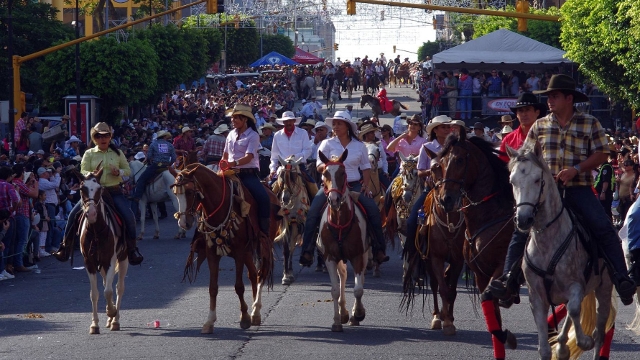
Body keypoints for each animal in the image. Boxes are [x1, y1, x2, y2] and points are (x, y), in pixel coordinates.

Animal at [78, 168, 129, 334]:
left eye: (99, 189)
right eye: (82, 189)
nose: (92, 213)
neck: (96, 231)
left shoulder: (110, 260)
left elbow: (108, 291)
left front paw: (111, 312)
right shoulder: (90, 263)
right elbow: (95, 294)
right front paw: (94, 325)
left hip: (123, 259)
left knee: (119, 288)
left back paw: (115, 320)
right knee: (107, 282)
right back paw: (109, 319)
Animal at [172, 165, 280, 334]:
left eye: (189, 192)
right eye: (175, 193)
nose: (183, 223)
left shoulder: (239, 252)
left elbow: (239, 286)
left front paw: (244, 318)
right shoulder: (212, 254)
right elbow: (213, 288)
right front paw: (209, 321)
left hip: (263, 246)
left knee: (261, 274)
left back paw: (255, 310)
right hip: (249, 252)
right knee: (253, 275)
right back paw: (255, 313)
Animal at [318, 149, 368, 332]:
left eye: (343, 173)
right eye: (324, 173)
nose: (334, 200)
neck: (340, 223)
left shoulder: (358, 255)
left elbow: (358, 289)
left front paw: (358, 314)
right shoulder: (330, 258)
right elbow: (334, 290)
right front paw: (337, 321)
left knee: (360, 279)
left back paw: (353, 315)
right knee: (344, 276)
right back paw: (344, 312)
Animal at [432, 134, 516, 358]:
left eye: (460, 160)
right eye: (440, 163)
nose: (446, 199)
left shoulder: (499, 268)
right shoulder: (480, 273)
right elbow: (492, 309)